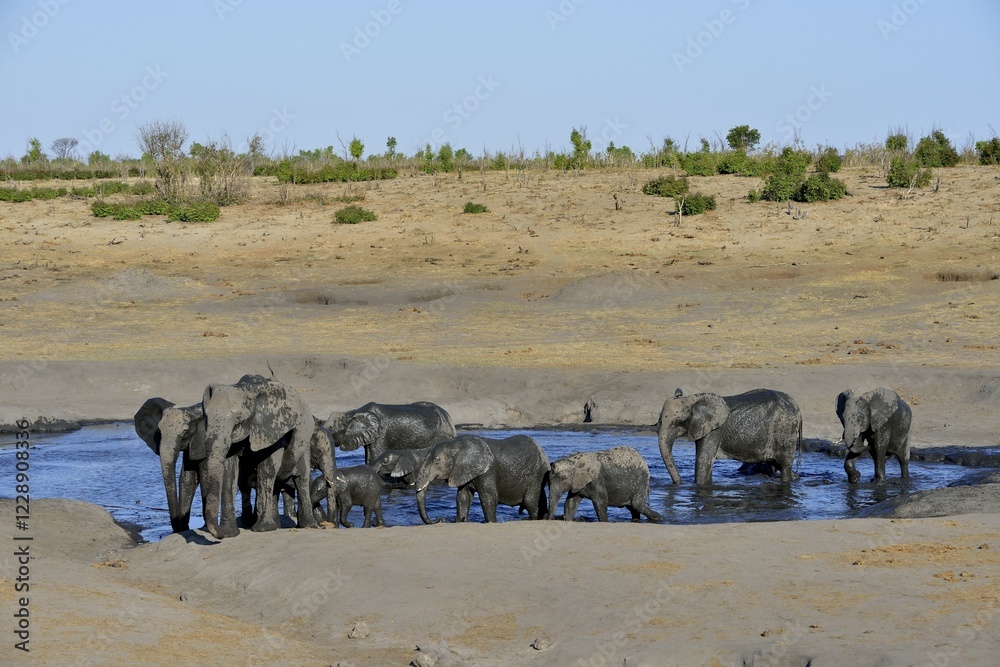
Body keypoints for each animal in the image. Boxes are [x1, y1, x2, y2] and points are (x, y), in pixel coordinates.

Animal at [200, 374, 333, 538]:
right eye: (206, 417)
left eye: (238, 421)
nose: (219, 535)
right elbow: (229, 473)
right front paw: (230, 533)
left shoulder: (272, 429)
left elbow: (267, 468)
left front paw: (263, 529)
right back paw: (275, 524)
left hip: (304, 439)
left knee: (301, 478)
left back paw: (308, 526)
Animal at [414, 434, 549, 524]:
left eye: (437, 461)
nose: (440, 519)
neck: (457, 444)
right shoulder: (464, 470)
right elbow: (463, 496)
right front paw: (461, 521)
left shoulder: (488, 471)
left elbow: (489, 496)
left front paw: (491, 523)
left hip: (536, 476)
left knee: (530, 502)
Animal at [658, 388, 802, 485]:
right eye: (659, 422)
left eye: (678, 422)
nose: (680, 483)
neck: (693, 399)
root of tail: (797, 409)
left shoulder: (714, 430)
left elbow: (703, 461)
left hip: (785, 431)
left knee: (784, 466)